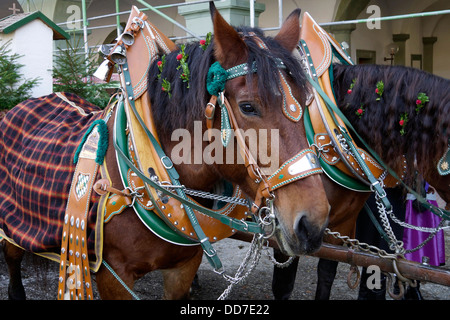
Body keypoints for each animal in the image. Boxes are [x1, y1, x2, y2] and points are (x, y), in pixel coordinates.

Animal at [1, 5, 328, 300]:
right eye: (248, 106)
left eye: (306, 101)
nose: (312, 225)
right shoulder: (113, 276)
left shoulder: (183, 268)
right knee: (12, 259)